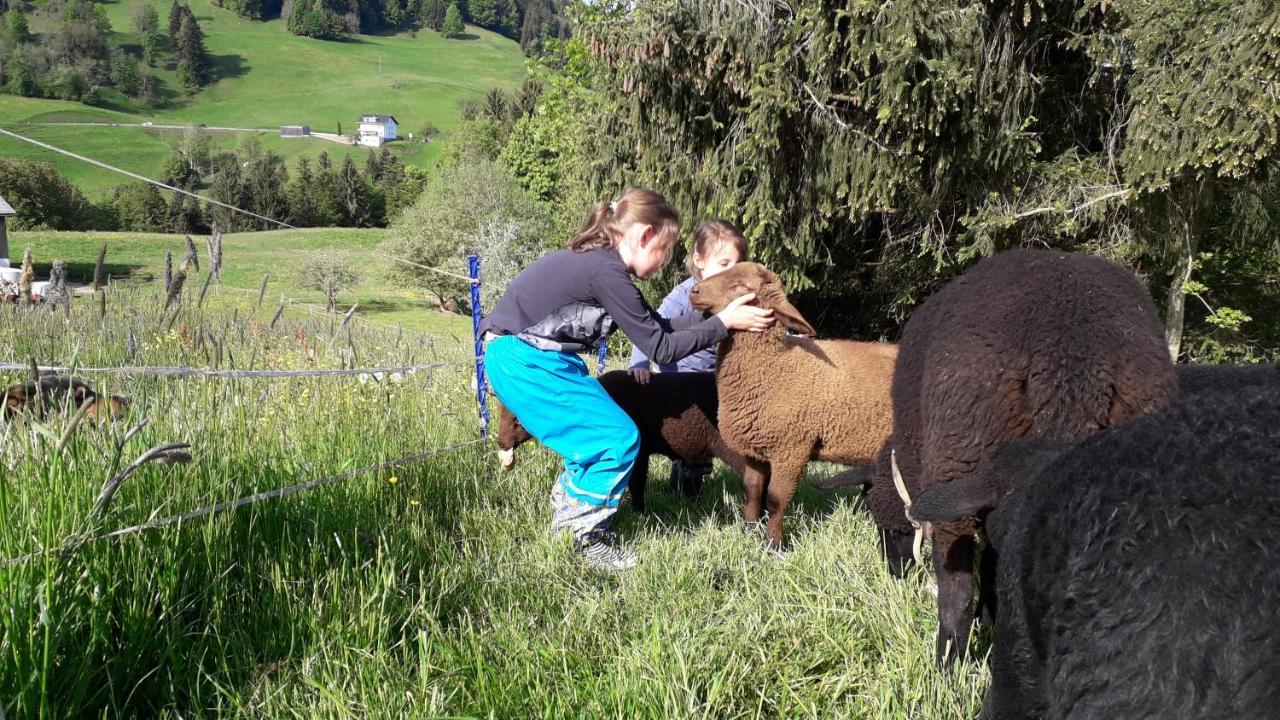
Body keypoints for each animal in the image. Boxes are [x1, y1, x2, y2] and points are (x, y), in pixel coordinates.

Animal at [691, 260, 901, 545]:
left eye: (741, 286)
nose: (694, 291)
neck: (776, 365)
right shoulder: (756, 445)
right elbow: (752, 489)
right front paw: (749, 528)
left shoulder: (791, 448)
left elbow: (776, 499)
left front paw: (773, 543)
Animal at [870, 248, 1177, 661]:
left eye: (882, 522)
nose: (893, 572)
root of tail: (1072, 355)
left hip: (959, 450)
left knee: (957, 593)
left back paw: (947, 665)